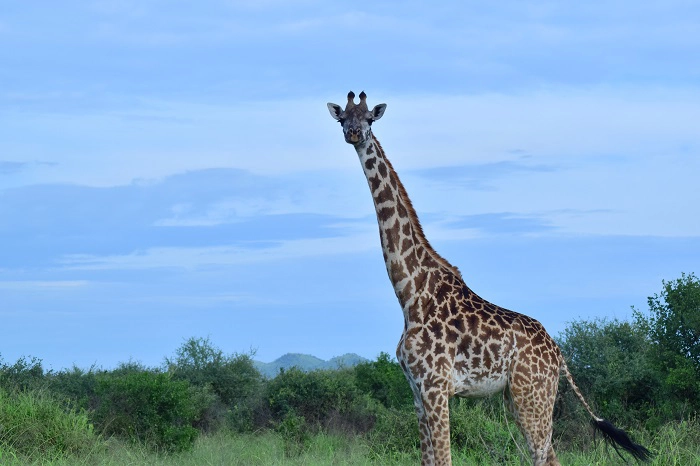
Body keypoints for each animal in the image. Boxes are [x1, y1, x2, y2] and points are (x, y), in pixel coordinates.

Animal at [326, 92, 652, 466]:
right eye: (342, 118)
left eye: (369, 119)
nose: (353, 133)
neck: (410, 293)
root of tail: (559, 354)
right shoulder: (417, 391)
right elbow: (427, 459)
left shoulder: (436, 387)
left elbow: (445, 459)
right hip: (519, 395)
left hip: (532, 394)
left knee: (544, 454)